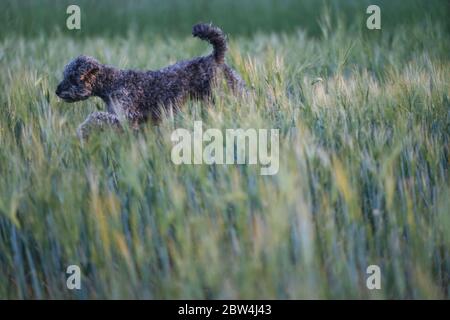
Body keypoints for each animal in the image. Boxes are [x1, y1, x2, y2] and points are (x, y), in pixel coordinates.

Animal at [57, 23, 246, 139]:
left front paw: (82, 130)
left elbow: (96, 116)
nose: (57, 91)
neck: (111, 83)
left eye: (72, 77)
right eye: (65, 74)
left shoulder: (126, 117)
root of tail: (216, 57)